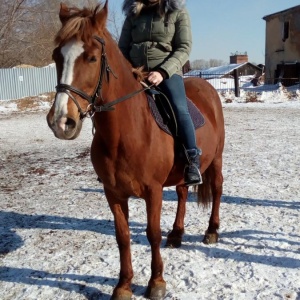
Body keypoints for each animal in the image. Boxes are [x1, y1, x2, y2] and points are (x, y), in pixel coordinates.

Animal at [47, 1, 224, 298]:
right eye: (56, 56)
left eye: (92, 58)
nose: (61, 122)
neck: (125, 134)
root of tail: (206, 87)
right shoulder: (114, 193)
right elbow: (123, 237)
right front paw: (124, 285)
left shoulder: (153, 191)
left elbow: (152, 233)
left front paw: (156, 283)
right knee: (182, 193)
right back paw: (177, 234)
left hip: (217, 159)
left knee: (218, 188)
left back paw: (212, 231)